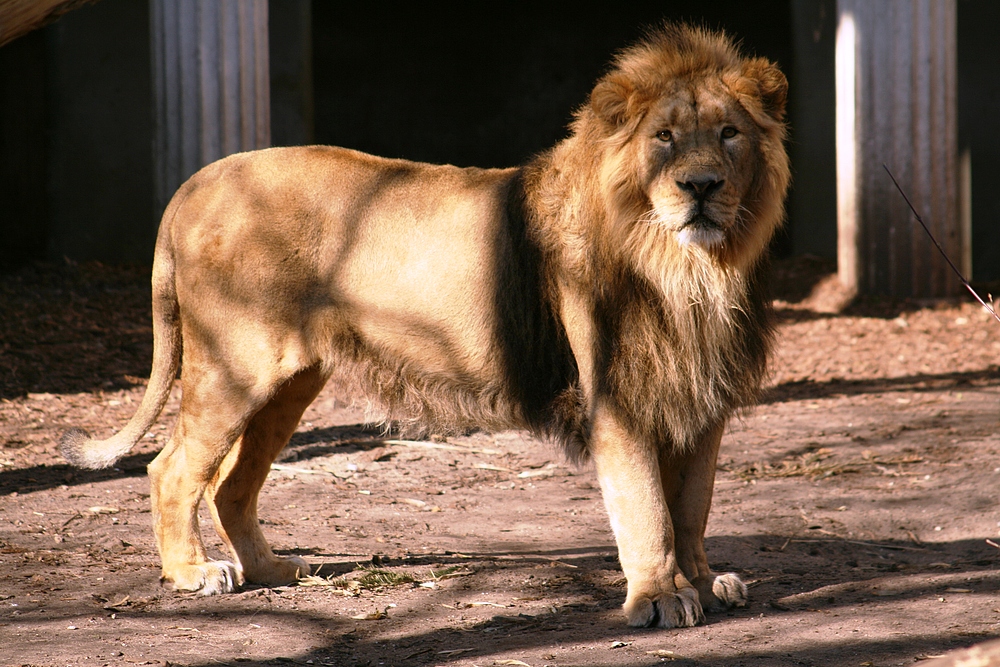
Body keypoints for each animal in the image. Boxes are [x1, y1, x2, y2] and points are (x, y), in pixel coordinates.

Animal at [60, 24, 788, 632]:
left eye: (729, 133)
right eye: (664, 137)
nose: (701, 186)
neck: (688, 268)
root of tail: (198, 179)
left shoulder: (701, 395)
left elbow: (691, 504)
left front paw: (702, 582)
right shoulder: (617, 393)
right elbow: (647, 507)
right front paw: (660, 597)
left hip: (290, 382)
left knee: (231, 483)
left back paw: (272, 569)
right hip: (233, 367)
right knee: (172, 468)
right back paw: (193, 573)